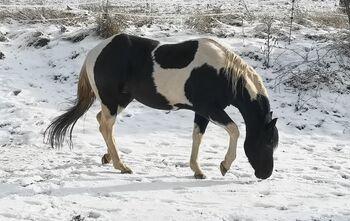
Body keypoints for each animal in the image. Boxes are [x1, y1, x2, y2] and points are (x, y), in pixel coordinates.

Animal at [45, 34, 278, 180]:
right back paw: (122, 166)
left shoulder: (201, 112)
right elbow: (235, 130)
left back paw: (109, 157)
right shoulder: (210, 109)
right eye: (267, 143)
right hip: (112, 101)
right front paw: (224, 165)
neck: (222, 73)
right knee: (105, 126)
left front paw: (197, 170)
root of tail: (95, 52)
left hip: (121, 100)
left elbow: (197, 137)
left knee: (101, 122)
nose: (265, 174)